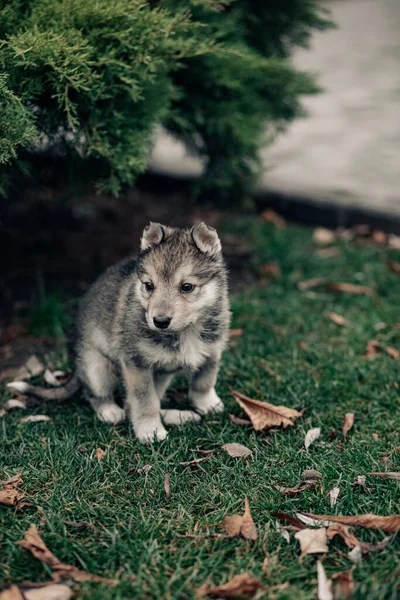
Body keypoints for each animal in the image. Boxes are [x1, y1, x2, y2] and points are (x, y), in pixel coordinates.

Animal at [7, 223, 230, 442]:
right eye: (149, 285)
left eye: (187, 287)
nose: (159, 321)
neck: (187, 330)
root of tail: (77, 370)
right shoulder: (137, 364)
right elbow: (145, 402)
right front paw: (150, 431)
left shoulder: (212, 351)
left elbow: (204, 381)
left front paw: (208, 405)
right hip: (97, 368)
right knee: (101, 397)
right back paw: (110, 411)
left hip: (161, 375)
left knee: (136, 404)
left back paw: (178, 416)